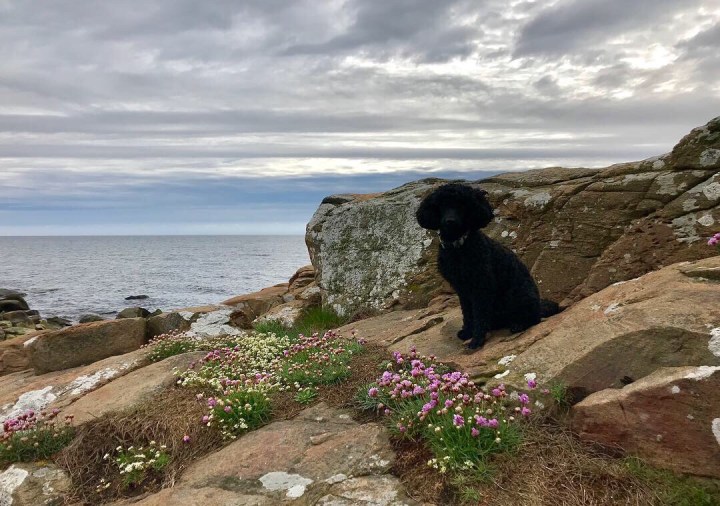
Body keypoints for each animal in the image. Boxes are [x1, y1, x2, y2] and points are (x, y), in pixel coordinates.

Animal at [416, 182, 559, 350]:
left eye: (462, 205)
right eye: (442, 204)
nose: (450, 221)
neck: (458, 247)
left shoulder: (482, 287)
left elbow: (479, 315)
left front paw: (477, 340)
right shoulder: (462, 289)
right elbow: (468, 313)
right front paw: (467, 332)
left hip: (519, 296)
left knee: (533, 318)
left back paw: (518, 325)